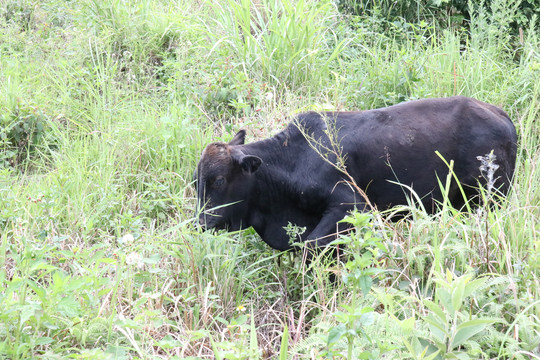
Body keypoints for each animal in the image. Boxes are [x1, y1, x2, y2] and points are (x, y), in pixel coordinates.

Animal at [195, 97, 520, 252]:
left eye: (219, 180)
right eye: (197, 182)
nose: (201, 223)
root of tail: (501, 115)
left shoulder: (352, 206)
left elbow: (311, 247)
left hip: (488, 199)